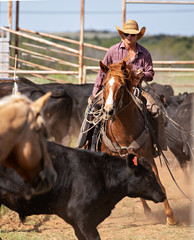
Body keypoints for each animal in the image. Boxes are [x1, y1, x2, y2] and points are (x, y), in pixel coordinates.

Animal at [98, 59, 177, 225]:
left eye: (121, 86)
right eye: (104, 84)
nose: (108, 111)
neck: (124, 131)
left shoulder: (147, 158)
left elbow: (159, 183)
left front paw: (171, 217)